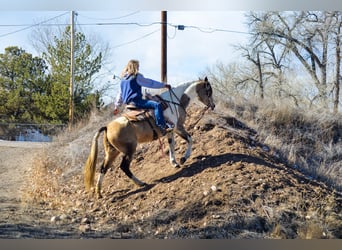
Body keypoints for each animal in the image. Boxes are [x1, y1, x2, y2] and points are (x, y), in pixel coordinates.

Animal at [84, 76, 215, 197]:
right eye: (209, 91)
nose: (213, 105)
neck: (173, 102)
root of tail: (107, 127)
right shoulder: (178, 127)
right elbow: (190, 139)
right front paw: (183, 158)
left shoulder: (170, 131)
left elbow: (172, 145)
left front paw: (174, 162)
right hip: (129, 150)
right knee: (124, 167)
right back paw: (140, 183)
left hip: (112, 152)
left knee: (103, 168)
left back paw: (99, 192)